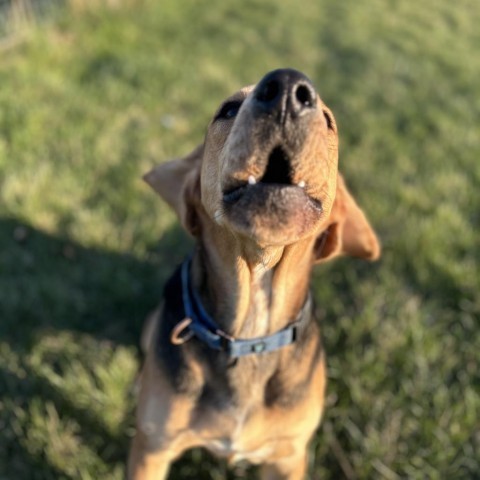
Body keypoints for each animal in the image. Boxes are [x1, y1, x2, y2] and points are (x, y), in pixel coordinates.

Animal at [128, 68, 382, 480]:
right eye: (229, 109)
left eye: (328, 121)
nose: (288, 90)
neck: (251, 330)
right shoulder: (152, 449)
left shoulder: (288, 457)